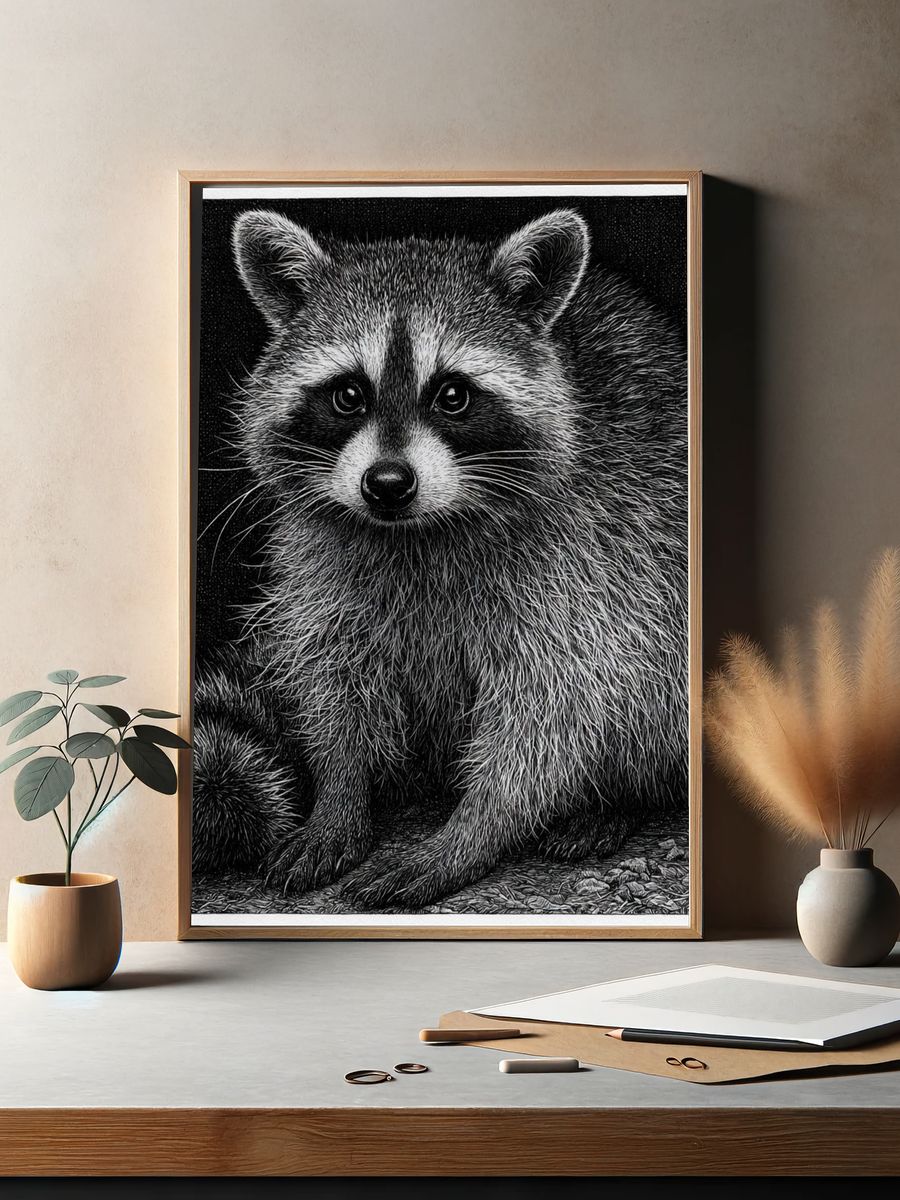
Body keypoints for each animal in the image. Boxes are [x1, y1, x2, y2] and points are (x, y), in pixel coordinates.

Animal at [193, 204, 688, 910]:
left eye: (452, 395)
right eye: (348, 394)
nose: (387, 483)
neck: (418, 531)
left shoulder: (593, 560)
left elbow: (555, 711)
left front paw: (471, 831)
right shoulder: (325, 564)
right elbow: (336, 676)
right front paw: (340, 795)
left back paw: (614, 801)